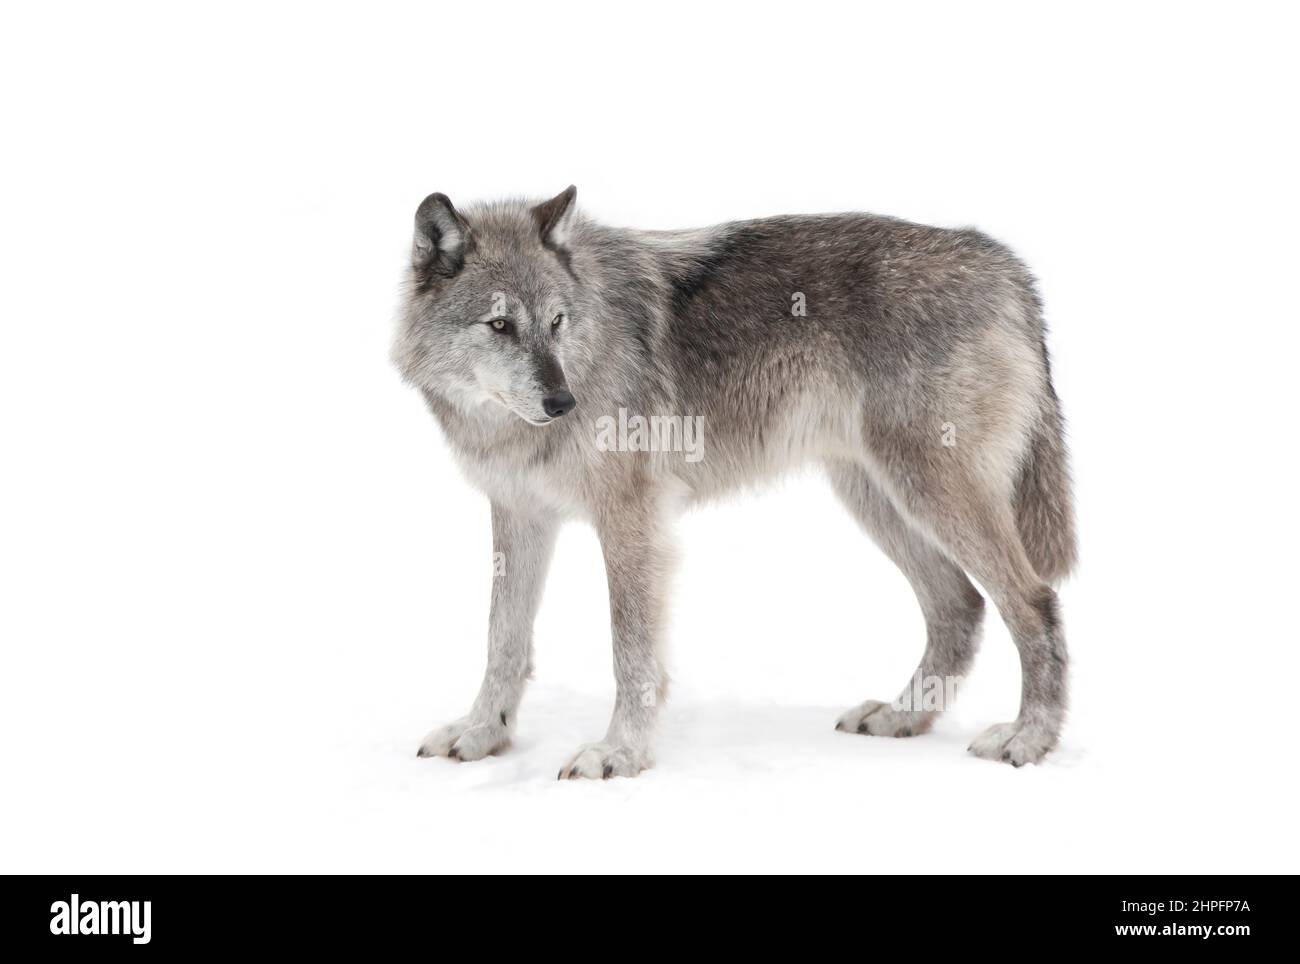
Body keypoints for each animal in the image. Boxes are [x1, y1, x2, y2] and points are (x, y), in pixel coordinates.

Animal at [392, 186, 1075, 778]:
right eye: (499, 325)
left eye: (557, 322)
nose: (563, 402)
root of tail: (1005, 264)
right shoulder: (519, 513)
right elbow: (502, 639)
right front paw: (483, 733)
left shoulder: (632, 519)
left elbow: (630, 652)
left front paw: (619, 753)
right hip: (878, 497)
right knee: (959, 606)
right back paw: (902, 717)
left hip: (926, 492)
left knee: (1032, 601)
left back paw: (1028, 739)